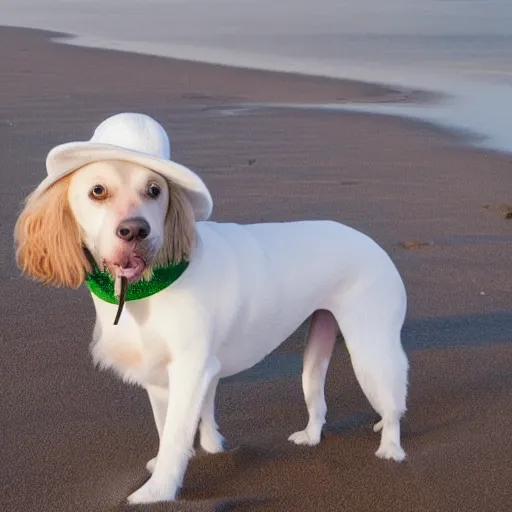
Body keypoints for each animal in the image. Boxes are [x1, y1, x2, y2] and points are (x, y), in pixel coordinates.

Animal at [14, 113, 410, 504]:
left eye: (155, 190)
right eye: (98, 191)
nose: (135, 231)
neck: (148, 288)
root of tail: (371, 242)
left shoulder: (191, 370)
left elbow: (176, 438)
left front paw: (157, 492)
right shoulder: (162, 377)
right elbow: (167, 428)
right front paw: (194, 454)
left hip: (371, 350)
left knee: (393, 406)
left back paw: (391, 450)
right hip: (318, 348)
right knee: (318, 403)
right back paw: (310, 436)